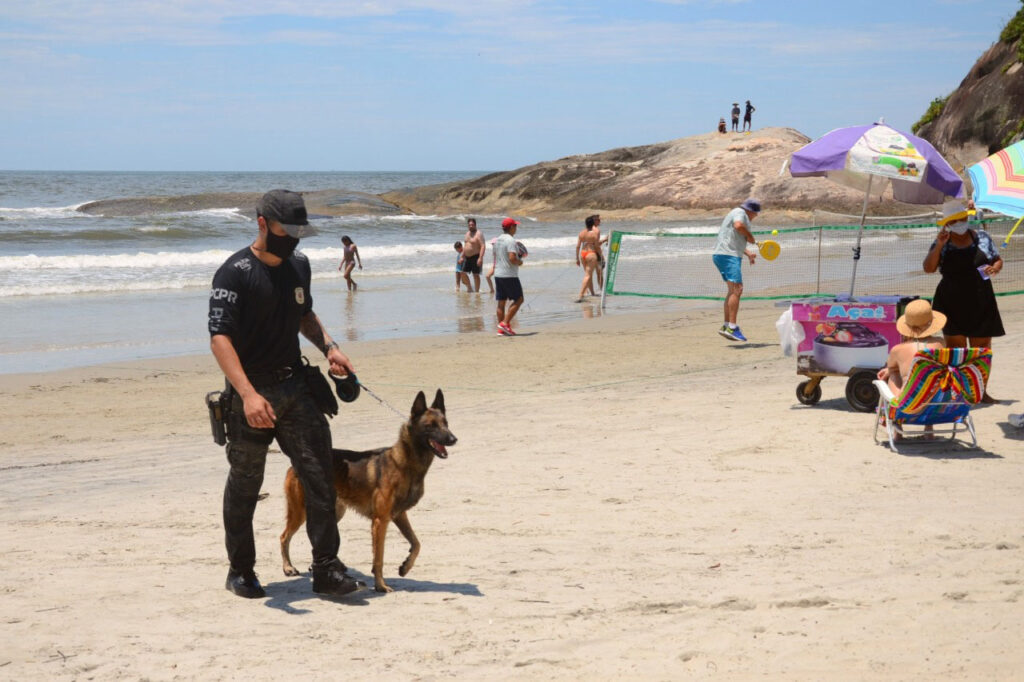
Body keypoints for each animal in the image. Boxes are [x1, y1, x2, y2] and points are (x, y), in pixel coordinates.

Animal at [280, 387, 456, 589]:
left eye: (445, 423)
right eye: (431, 425)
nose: (453, 439)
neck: (405, 463)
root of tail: (296, 463)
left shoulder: (399, 515)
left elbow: (417, 543)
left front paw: (405, 567)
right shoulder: (380, 521)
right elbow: (378, 558)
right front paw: (381, 585)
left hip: (332, 512)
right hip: (301, 512)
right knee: (284, 537)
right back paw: (288, 568)